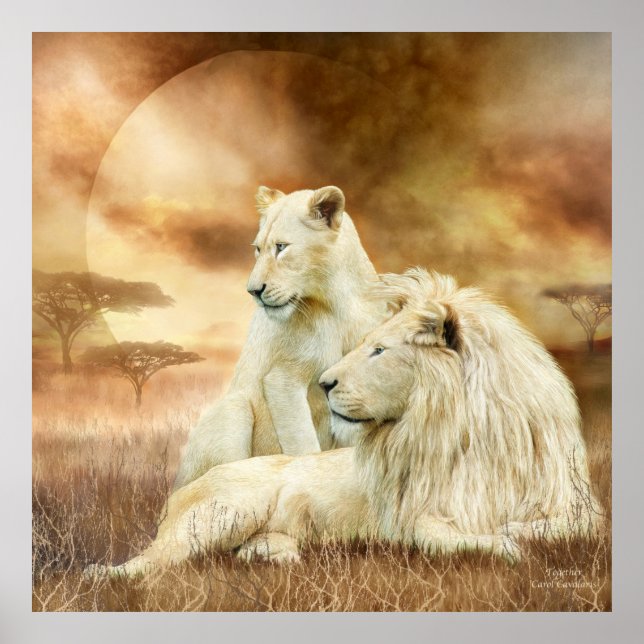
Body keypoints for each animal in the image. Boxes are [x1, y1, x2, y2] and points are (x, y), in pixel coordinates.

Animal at [88, 269, 601, 578]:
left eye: (379, 350)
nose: (325, 382)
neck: (468, 432)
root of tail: (181, 492)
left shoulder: (578, 506)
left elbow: (569, 528)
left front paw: (518, 534)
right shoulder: (409, 516)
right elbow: (444, 536)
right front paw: (506, 545)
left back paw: (274, 554)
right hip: (227, 509)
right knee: (151, 561)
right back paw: (102, 576)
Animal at [172, 186, 386, 489]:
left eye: (281, 247)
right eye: (258, 249)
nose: (253, 290)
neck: (336, 302)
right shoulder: (283, 379)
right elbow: (302, 443)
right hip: (234, 409)